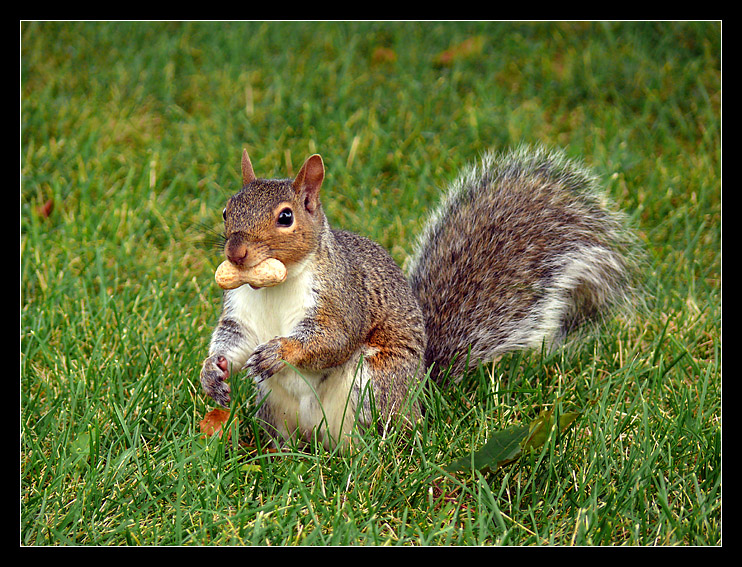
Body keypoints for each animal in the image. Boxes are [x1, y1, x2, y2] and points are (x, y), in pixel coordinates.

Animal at [200, 145, 638, 449]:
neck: (274, 285)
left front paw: (280, 351)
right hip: (275, 405)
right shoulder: (240, 314)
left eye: (286, 217)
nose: (235, 253)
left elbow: (333, 339)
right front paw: (212, 372)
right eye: (226, 210)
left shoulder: (342, 297)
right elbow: (233, 341)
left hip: (375, 383)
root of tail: (420, 398)